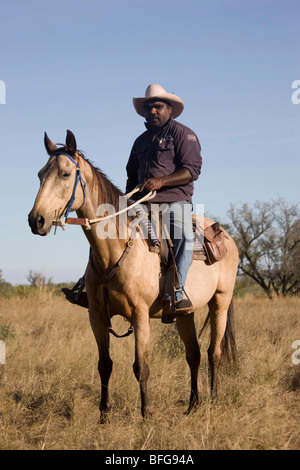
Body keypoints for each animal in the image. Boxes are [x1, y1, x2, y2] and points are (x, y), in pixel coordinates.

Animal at [28, 130, 239, 420]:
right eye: (40, 174)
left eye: (65, 174)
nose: (36, 220)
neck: (114, 248)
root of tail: (224, 234)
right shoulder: (96, 315)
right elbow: (104, 365)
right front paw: (104, 415)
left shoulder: (140, 314)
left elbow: (141, 366)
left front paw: (146, 413)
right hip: (186, 311)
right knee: (193, 354)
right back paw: (192, 405)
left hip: (221, 301)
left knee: (213, 352)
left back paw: (214, 400)